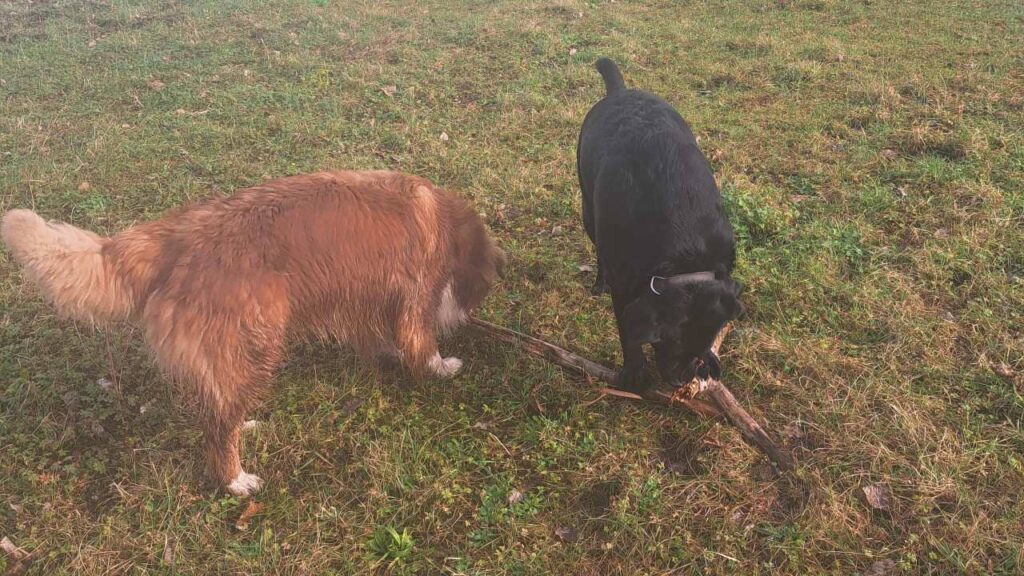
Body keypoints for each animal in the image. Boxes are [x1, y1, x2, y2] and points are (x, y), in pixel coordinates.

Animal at [2, 169, 505, 494]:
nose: (466, 318)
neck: (443, 221)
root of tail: (175, 237)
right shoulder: (416, 296)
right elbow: (420, 343)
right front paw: (441, 366)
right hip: (256, 345)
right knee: (216, 427)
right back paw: (235, 480)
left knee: (220, 405)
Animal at [577, 56, 745, 391]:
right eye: (667, 343)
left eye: (703, 344)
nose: (681, 381)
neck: (686, 250)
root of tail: (621, 91)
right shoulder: (624, 286)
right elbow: (626, 329)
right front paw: (634, 370)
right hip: (589, 211)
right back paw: (598, 282)